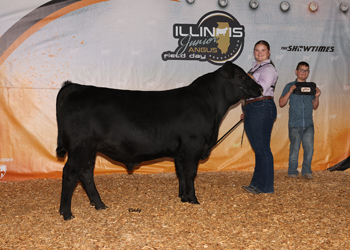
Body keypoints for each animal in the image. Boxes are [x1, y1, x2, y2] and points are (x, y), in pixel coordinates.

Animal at [56, 61, 262, 220]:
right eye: (242, 76)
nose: (260, 88)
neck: (210, 106)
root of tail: (77, 86)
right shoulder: (193, 146)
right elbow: (190, 173)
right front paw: (194, 199)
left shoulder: (181, 152)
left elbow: (181, 173)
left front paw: (183, 198)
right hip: (80, 148)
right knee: (70, 173)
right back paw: (66, 213)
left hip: (90, 149)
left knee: (86, 174)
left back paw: (99, 204)